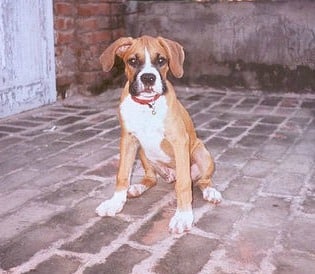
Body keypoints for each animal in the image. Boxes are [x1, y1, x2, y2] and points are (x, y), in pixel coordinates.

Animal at [96, 35, 222, 233]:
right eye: (133, 61)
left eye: (161, 60)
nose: (148, 78)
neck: (147, 105)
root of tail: (171, 174)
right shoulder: (128, 140)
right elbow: (122, 174)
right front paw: (115, 203)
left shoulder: (179, 141)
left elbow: (184, 184)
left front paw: (183, 216)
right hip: (142, 152)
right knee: (151, 178)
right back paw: (138, 187)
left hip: (201, 152)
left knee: (202, 180)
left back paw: (211, 191)